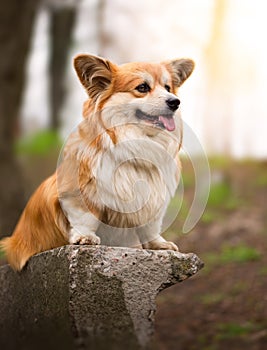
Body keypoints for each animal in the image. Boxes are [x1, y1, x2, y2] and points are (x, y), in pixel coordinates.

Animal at [0, 54, 195, 270]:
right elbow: (85, 217)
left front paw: (158, 244)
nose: (175, 102)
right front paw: (85, 237)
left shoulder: (154, 199)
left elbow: (150, 225)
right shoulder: (77, 193)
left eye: (168, 87)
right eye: (143, 87)